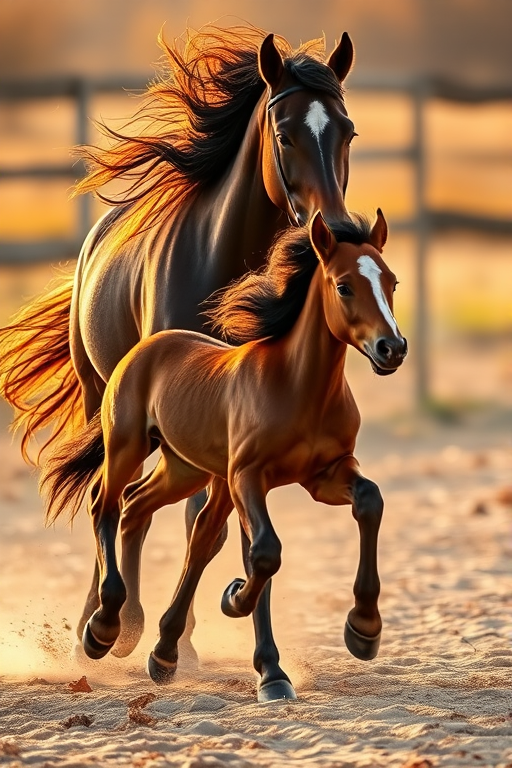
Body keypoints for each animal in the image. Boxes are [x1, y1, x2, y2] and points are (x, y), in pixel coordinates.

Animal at [0, 25, 357, 701]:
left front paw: (247, 660)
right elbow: (196, 525)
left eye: (347, 130)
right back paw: (104, 624)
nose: (341, 229)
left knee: (139, 505)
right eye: (284, 133)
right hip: (111, 407)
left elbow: (221, 531)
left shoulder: (238, 427)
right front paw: (143, 633)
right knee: (110, 496)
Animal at [40, 209, 407, 700]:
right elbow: (264, 551)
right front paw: (235, 600)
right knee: (107, 505)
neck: (298, 387)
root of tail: (144, 347)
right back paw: (103, 630)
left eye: (391, 281)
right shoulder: (246, 476)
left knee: (147, 511)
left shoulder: (327, 474)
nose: (393, 348)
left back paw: (158, 651)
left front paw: (364, 631)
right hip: (130, 446)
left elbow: (370, 501)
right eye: (344, 285)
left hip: (186, 469)